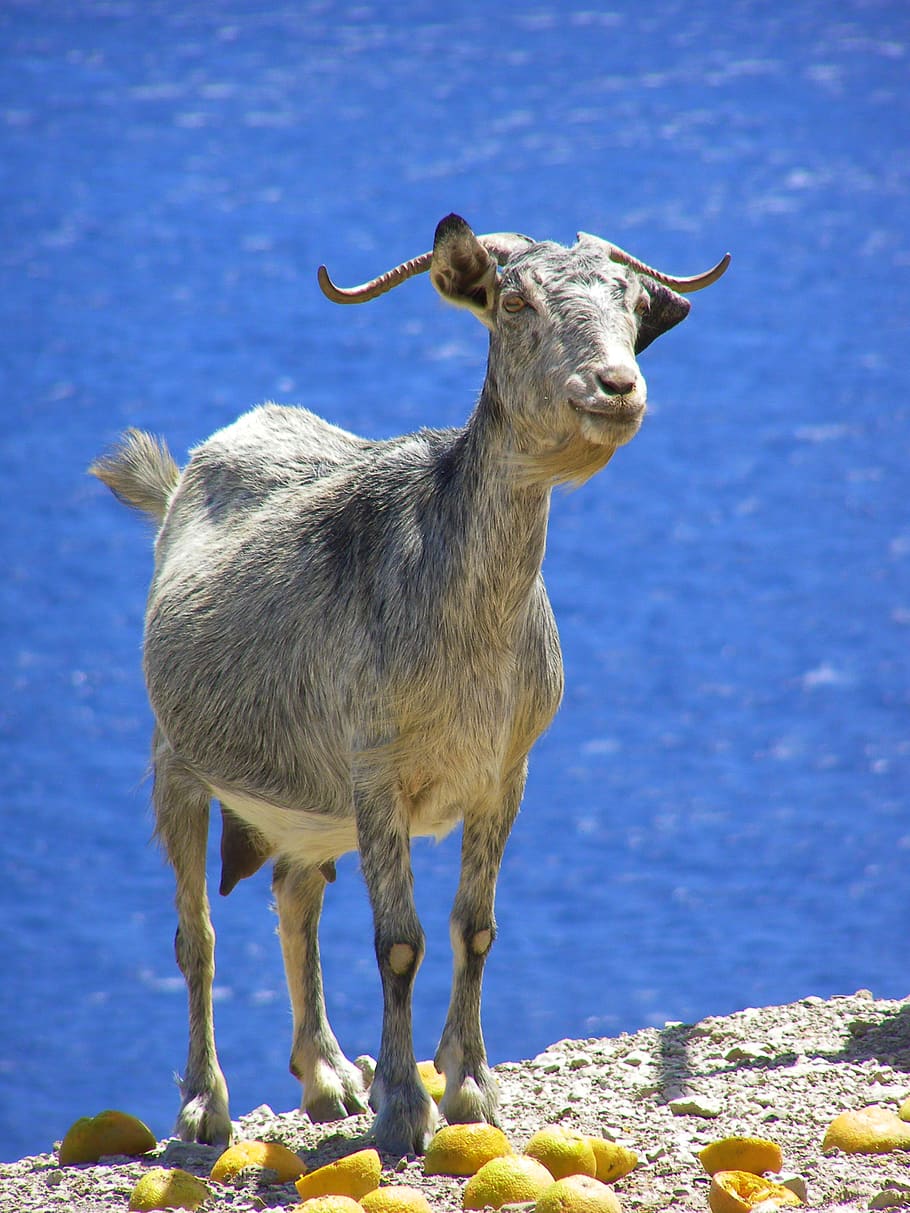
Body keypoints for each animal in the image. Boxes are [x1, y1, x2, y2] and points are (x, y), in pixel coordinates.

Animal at [90, 214, 728, 1157]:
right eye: (514, 301)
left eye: (631, 302)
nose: (615, 386)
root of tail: (184, 478)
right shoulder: (376, 770)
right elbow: (399, 941)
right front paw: (401, 1107)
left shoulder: (506, 773)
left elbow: (477, 926)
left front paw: (470, 1089)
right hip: (179, 755)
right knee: (194, 932)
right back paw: (206, 1103)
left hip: (308, 804)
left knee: (296, 896)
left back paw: (326, 1076)